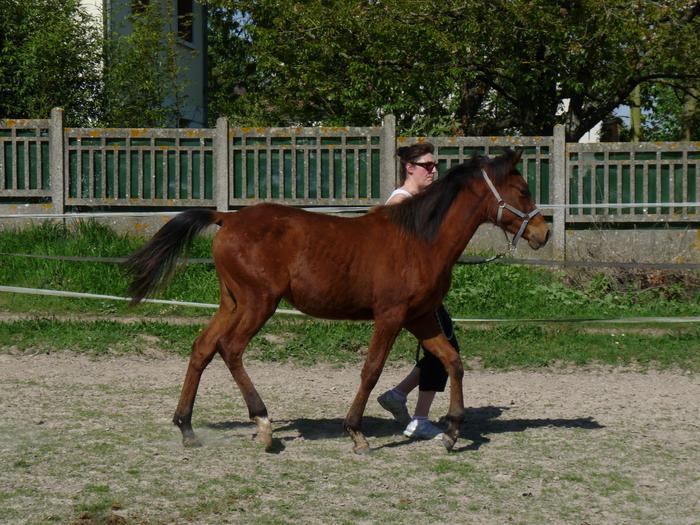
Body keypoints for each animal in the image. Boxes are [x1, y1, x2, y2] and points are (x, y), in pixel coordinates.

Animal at [127, 149, 552, 452]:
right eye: (523, 190)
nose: (543, 233)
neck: (419, 241)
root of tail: (227, 218)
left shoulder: (420, 316)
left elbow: (452, 362)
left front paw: (451, 433)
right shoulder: (391, 316)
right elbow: (372, 369)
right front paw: (356, 433)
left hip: (232, 302)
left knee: (202, 347)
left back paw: (187, 427)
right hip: (258, 302)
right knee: (230, 349)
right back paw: (262, 424)